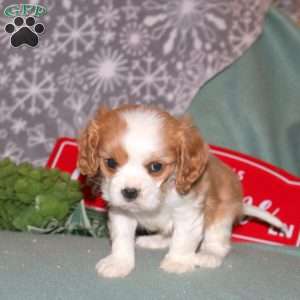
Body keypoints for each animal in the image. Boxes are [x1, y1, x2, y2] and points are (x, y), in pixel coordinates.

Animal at [78, 104, 286, 278]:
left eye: (156, 167)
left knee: (218, 241)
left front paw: (177, 262)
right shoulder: (122, 213)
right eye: (111, 163)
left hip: (222, 214)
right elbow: (122, 238)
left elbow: (183, 239)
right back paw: (155, 240)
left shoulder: (188, 212)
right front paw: (119, 262)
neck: (161, 194)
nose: (130, 192)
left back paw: (208, 255)